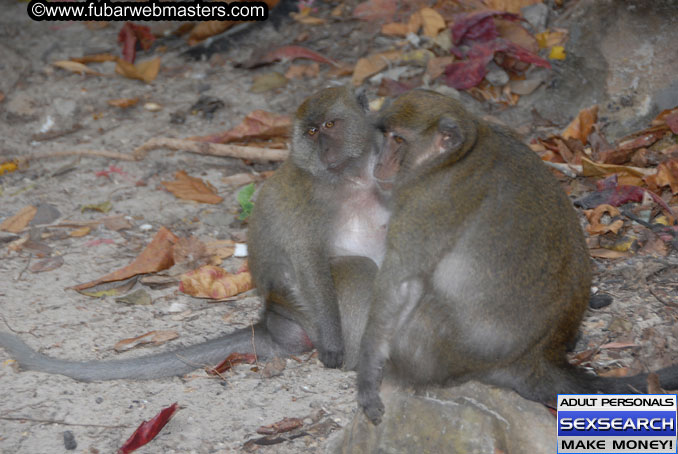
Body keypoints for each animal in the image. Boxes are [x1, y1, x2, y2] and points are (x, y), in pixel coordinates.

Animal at [0, 87, 390, 382]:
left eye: (330, 125)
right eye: (311, 132)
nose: (324, 149)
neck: (349, 178)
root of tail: (273, 320)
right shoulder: (307, 200)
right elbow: (308, 261)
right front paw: (335, 347)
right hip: (305, 313)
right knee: (356, 270)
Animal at [356, 89, 678, 426]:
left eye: (398, 140)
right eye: (386, 138)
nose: (380, 164)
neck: (454, 157)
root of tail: (536, 360)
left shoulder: (424, 202)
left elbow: (399, 287)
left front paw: (367, 375)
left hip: (442, 353)